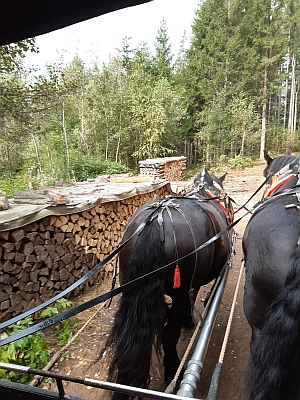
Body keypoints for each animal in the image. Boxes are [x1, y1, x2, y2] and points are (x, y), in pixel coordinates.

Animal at [104, 167, 233, 398]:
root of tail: (157, 221)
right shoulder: (190, 288)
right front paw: (189, 321)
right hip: (180, 292)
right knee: (169, 333)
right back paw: (173, 371)